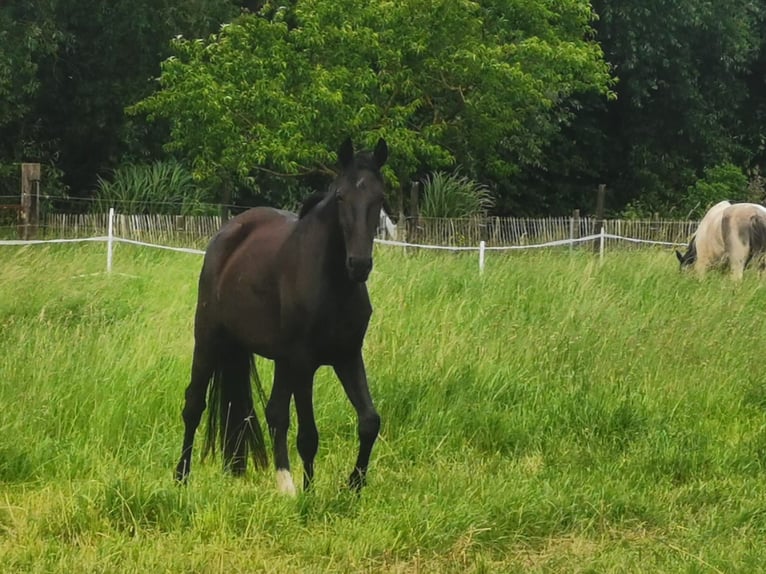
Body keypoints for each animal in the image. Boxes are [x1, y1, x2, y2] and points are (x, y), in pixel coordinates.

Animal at [175, 137, 389, 495]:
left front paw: (354, 485)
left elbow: (370, 421)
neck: (332, 283)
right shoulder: (304, 362)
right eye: (341, 196)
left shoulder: (346, 356)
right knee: (194, 405)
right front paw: (310, 493)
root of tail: (227, 234)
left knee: (273, 412)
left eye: (380, 197)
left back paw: (276, 479)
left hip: (276, 359)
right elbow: (308, 435)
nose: (359, 265)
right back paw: (181, 476)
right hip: (208, 339)